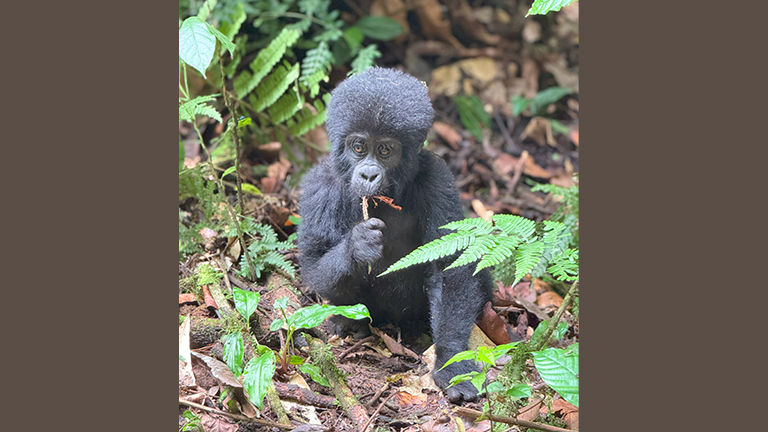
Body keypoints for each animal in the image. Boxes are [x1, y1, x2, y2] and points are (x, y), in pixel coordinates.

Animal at [297, 67, 491, 403]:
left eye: (385, 150)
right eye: (358, 147)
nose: (368, 174)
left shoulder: (437, 179)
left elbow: (450, 265)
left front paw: (451, 361)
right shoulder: (319, 186)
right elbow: (312, 261)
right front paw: (357, 246)